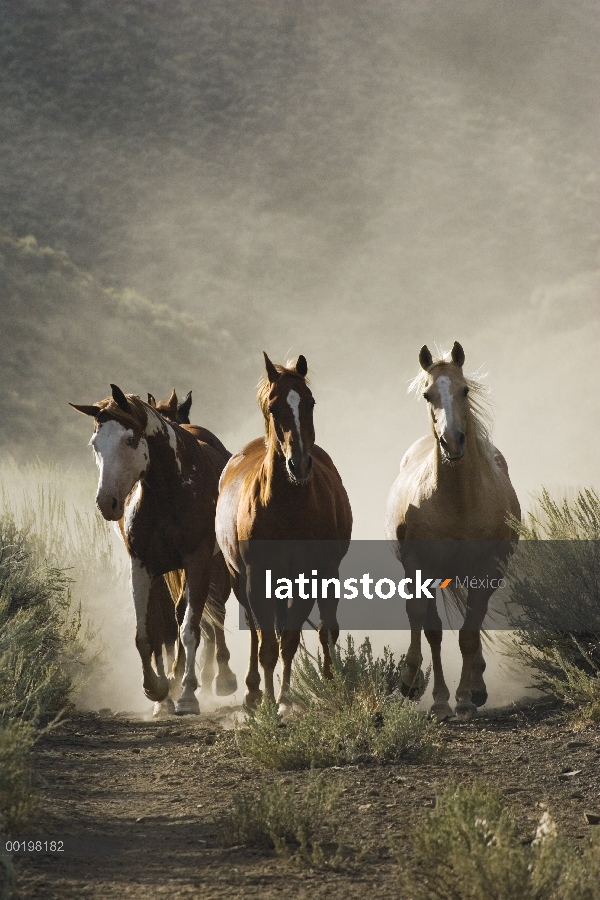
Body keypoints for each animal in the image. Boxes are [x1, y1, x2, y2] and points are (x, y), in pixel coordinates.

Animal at [71, 386, 237, 716]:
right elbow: (149, 632)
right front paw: (158, 690)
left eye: (129, 440)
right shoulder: (143, 567)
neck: (168, 491)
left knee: (210, 616)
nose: (106, 502)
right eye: (95, 444)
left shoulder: (197, 562)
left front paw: (187, 694)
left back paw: (219, 678)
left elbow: (189, 627)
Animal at [216, 356, 352, 712]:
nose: (299, 464)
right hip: (239, 580)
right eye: (273, 407)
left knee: (323, 628)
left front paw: (285, 702)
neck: (286, 505)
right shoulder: (256, 577)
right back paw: (252, 691)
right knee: (254, 630)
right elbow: (267, 644)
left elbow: (289, 640)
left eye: (310, 402)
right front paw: (267, 701)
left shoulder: (309, 574)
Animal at [384, 342, 520, 720]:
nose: (452, 442)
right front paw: (438, 699)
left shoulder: (486, 570)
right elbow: (431, 628)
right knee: (418, 616)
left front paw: (465, 697)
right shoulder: (421, 568)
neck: (458, 502)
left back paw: (477, 684)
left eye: (465, 390)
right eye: (428, 394)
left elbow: (469, 634)